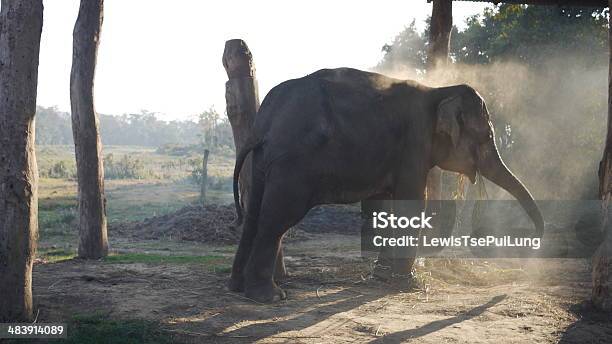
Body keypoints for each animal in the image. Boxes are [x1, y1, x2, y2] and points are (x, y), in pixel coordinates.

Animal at [227, 68, 544, 304]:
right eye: (487, 136)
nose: (533, 246)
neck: (439, 90)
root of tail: (264, 121)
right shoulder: (415, 141)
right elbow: (412, 203)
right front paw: (408, 285)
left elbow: (386, 203)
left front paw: (380, 277)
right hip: (293, 164)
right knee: (277, 219)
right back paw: (269, 297)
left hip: (265, 160)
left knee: (255, 212)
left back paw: (238, 288)